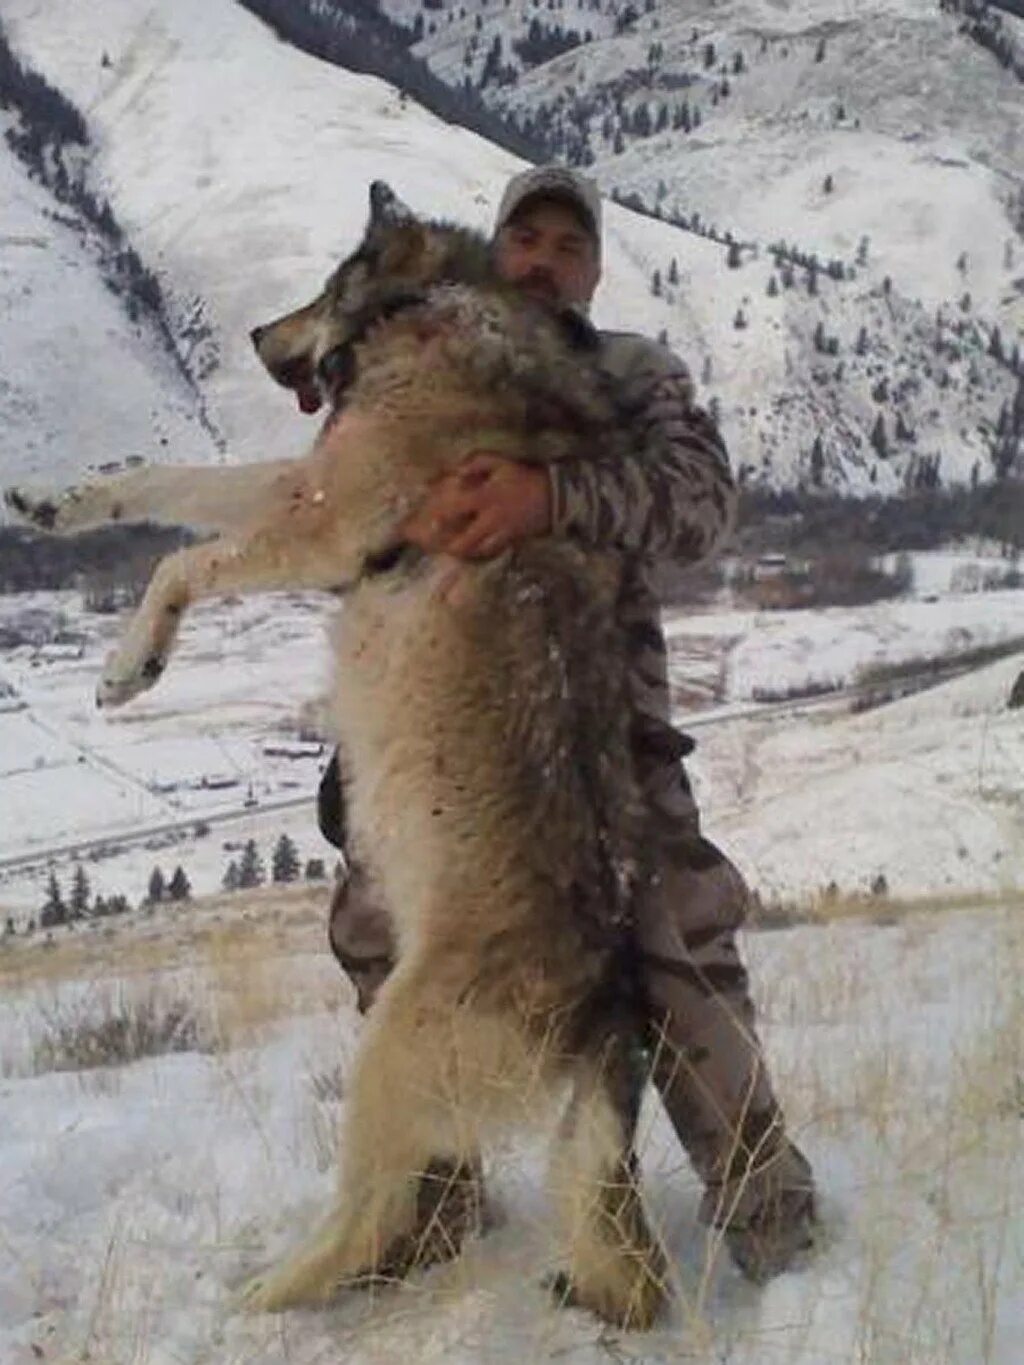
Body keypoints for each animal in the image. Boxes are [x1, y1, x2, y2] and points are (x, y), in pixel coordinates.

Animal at [4, 176, 669, 1326]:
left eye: (320, 287)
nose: (255, 334)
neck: (434, 312)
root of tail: (604, 1019)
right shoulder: (300, 486)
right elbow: (163, 478)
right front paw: (55, 502)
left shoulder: (320, 519)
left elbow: (182, 556)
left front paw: (133, 665)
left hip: (385, 1050)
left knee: (365, 1212)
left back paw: (258, 1293)